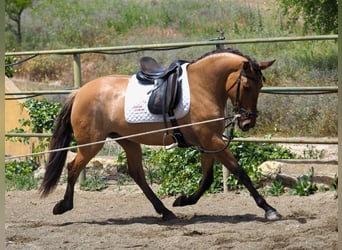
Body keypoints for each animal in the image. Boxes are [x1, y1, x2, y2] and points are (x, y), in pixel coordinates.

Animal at [40, 48, 282, 221]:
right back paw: (63, 206)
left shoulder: (208, 141)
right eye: (247, 85)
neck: (202, 87)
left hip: (128, 141)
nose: (248, 122)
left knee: (137, 174)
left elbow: (207, 178)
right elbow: (239, 172)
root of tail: (80, 92)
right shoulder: (211, 140)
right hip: (91, 144)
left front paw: (183, 200)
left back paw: (165, 211)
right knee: (73, 167)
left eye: (260, 86)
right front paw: (269, 209)